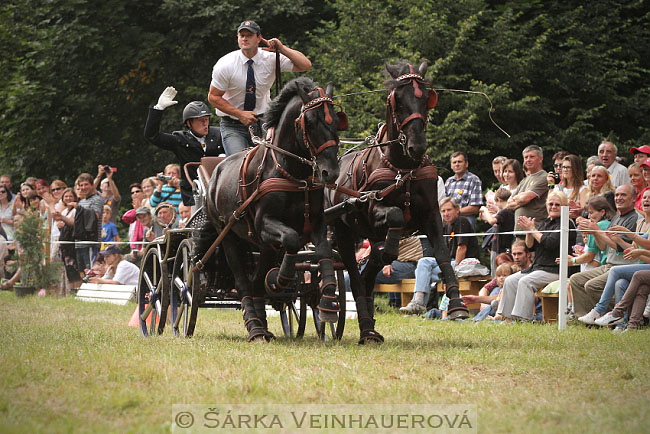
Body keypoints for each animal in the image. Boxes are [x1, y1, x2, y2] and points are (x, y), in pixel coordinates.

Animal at [205, 78, 346, 342]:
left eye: (336, 119)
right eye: (310, 121)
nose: (330, 172)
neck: (291, 173)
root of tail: (215, 174)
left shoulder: (317, 222)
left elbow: (324, 251)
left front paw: (328, 301)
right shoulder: (264, 224)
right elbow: (291, 239)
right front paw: (280, 279)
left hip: (263, 246)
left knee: (256, 282)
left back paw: (263, 324)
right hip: (229, 237)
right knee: (244, 283)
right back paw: (254, 327)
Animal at [330, 61, 466, 344]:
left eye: (426, 99)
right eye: (398, 100)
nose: (417, 146)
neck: (403, 168)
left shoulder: (431, 214)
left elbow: (441, 253)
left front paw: (458, 304)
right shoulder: (374, 210)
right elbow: (394, 216)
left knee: (366, 275)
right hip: (344, 232)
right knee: (355, 278)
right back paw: (366, 327)